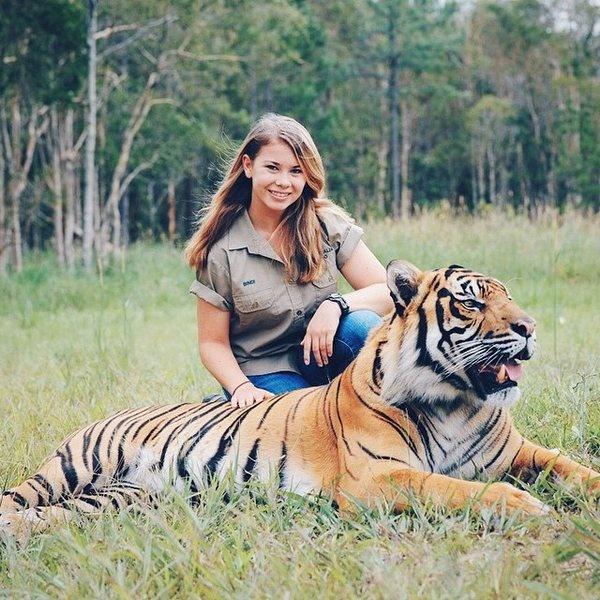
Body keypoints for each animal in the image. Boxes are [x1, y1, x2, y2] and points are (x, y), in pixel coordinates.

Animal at [0, 260, 596, 536]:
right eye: (471, 303)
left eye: (509, 297)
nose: (529, 328)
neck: (456, 401)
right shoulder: (373, 477)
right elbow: (450, 486)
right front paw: (526, 505)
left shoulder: (518, 452)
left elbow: (570, 466)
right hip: (72, 467)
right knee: (17, 499)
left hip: (123, 498)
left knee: (52, 517)